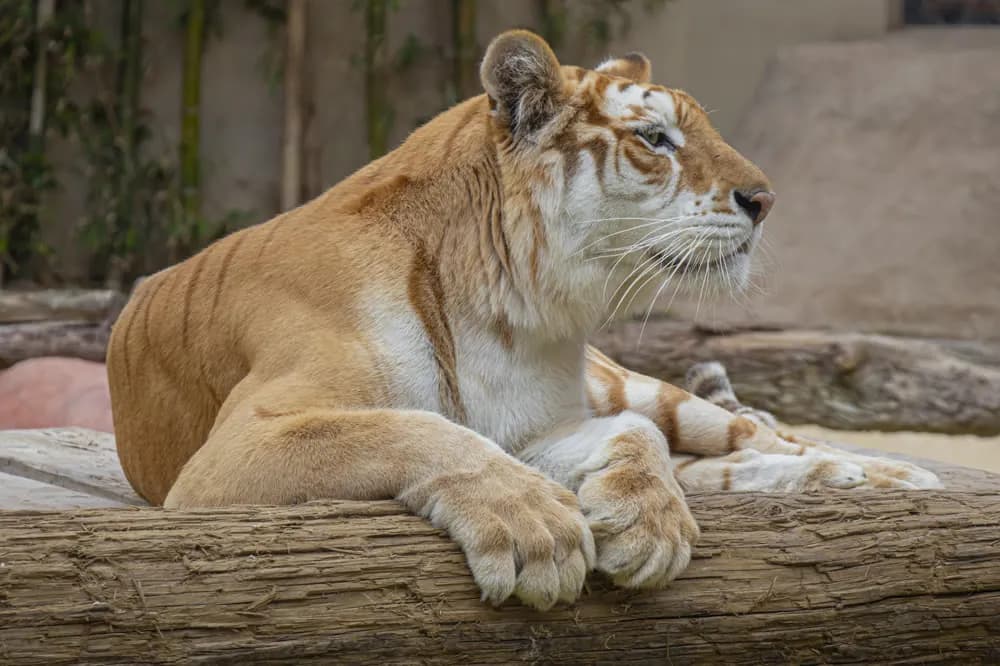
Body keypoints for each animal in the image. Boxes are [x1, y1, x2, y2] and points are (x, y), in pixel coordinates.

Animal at [107, 30, 941, 612]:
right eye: (655, 139)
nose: (765, 201)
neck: (506, 315)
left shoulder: (546, 424)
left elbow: (635, 438)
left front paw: (650, 523)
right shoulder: (234, 449)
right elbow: (416, 428)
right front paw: (538, 529)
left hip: (651, 390)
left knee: (752, 434)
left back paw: (885, 474)